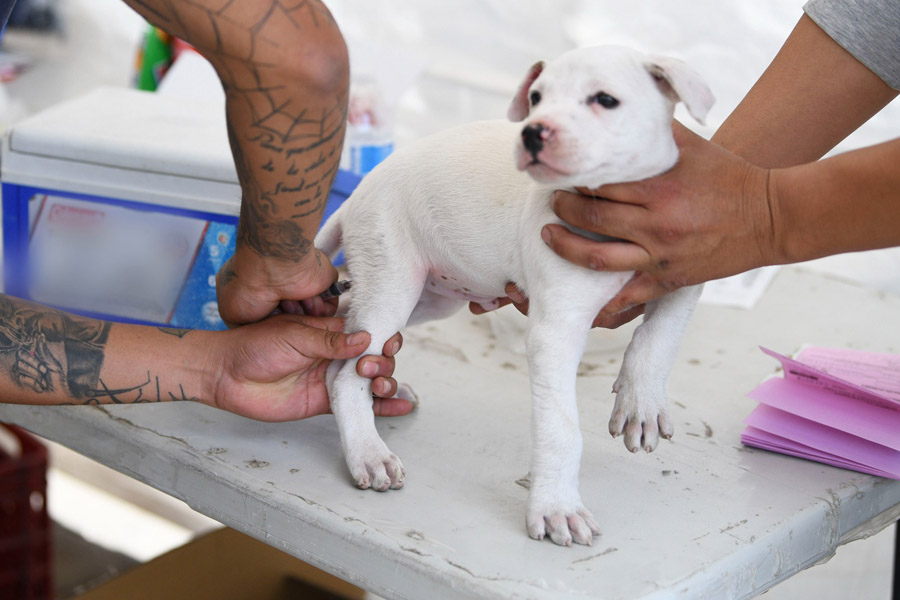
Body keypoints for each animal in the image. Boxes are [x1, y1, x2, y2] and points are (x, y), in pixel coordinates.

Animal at [320, 44, 712, 548]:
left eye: (605, 99)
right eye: (537, 97)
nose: (531, 132)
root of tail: (356, 196)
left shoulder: (684, 269)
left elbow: (660, 336)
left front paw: (640, 401)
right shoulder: (555, 334)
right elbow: (561, 428)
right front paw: (557, 507)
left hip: (429, 297)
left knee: (341, 323)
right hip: (393, 281)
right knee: (343, 372)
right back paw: (368, 451)